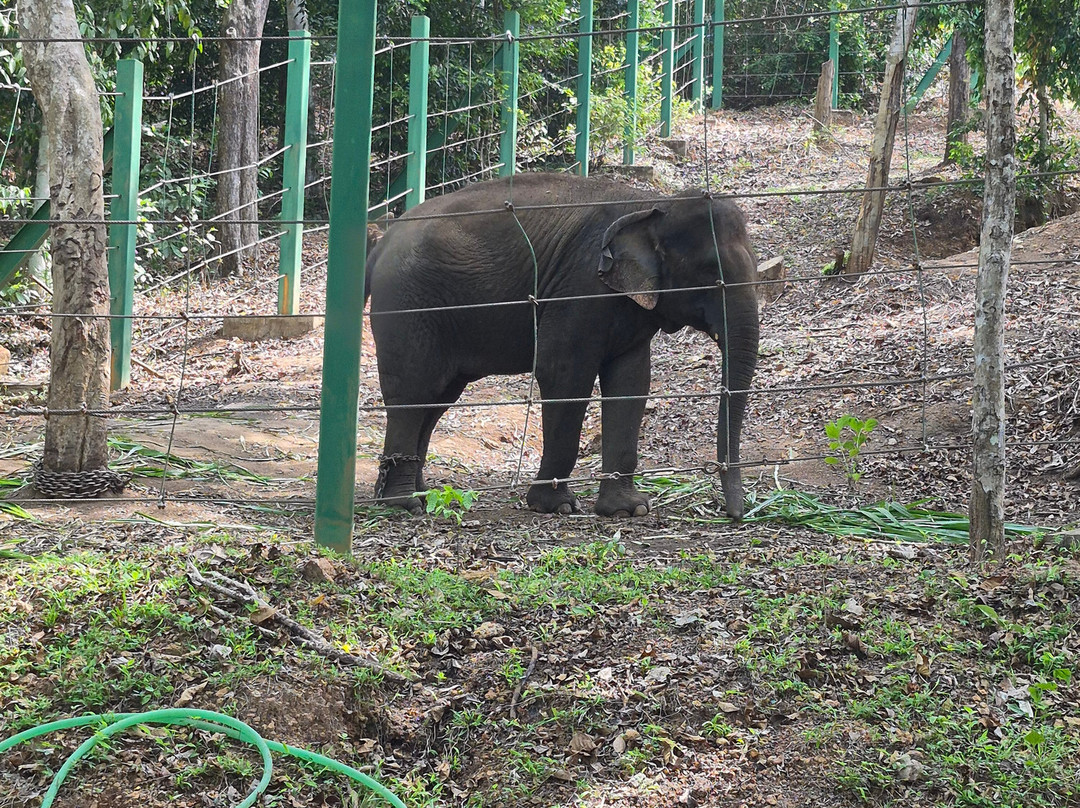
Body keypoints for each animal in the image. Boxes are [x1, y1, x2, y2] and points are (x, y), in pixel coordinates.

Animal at [366, 172, 759, 519]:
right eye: (710, 273)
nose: (734, 514)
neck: (653, 205)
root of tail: (381, 241)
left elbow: (632, 382)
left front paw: (628, 509)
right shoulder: (579, 287)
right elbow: (564, 374)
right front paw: (556, 506)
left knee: (436, 400)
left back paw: (418, 494)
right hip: (407, 307)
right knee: (414, 393)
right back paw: (404, 505)